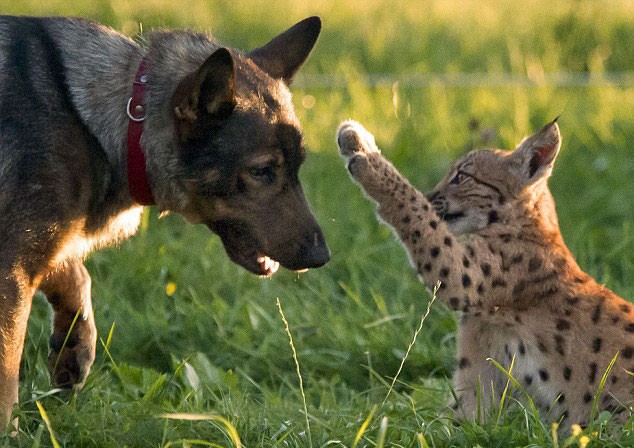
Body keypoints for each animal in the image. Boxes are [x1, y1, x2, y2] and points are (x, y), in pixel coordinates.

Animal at [0, 14, 326, 428]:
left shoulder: (38, 247)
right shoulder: (11, 267)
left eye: (298, 168)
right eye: (262, 171)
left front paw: (74, 349)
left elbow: (75, 276)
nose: (322, 257)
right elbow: (7, 376)